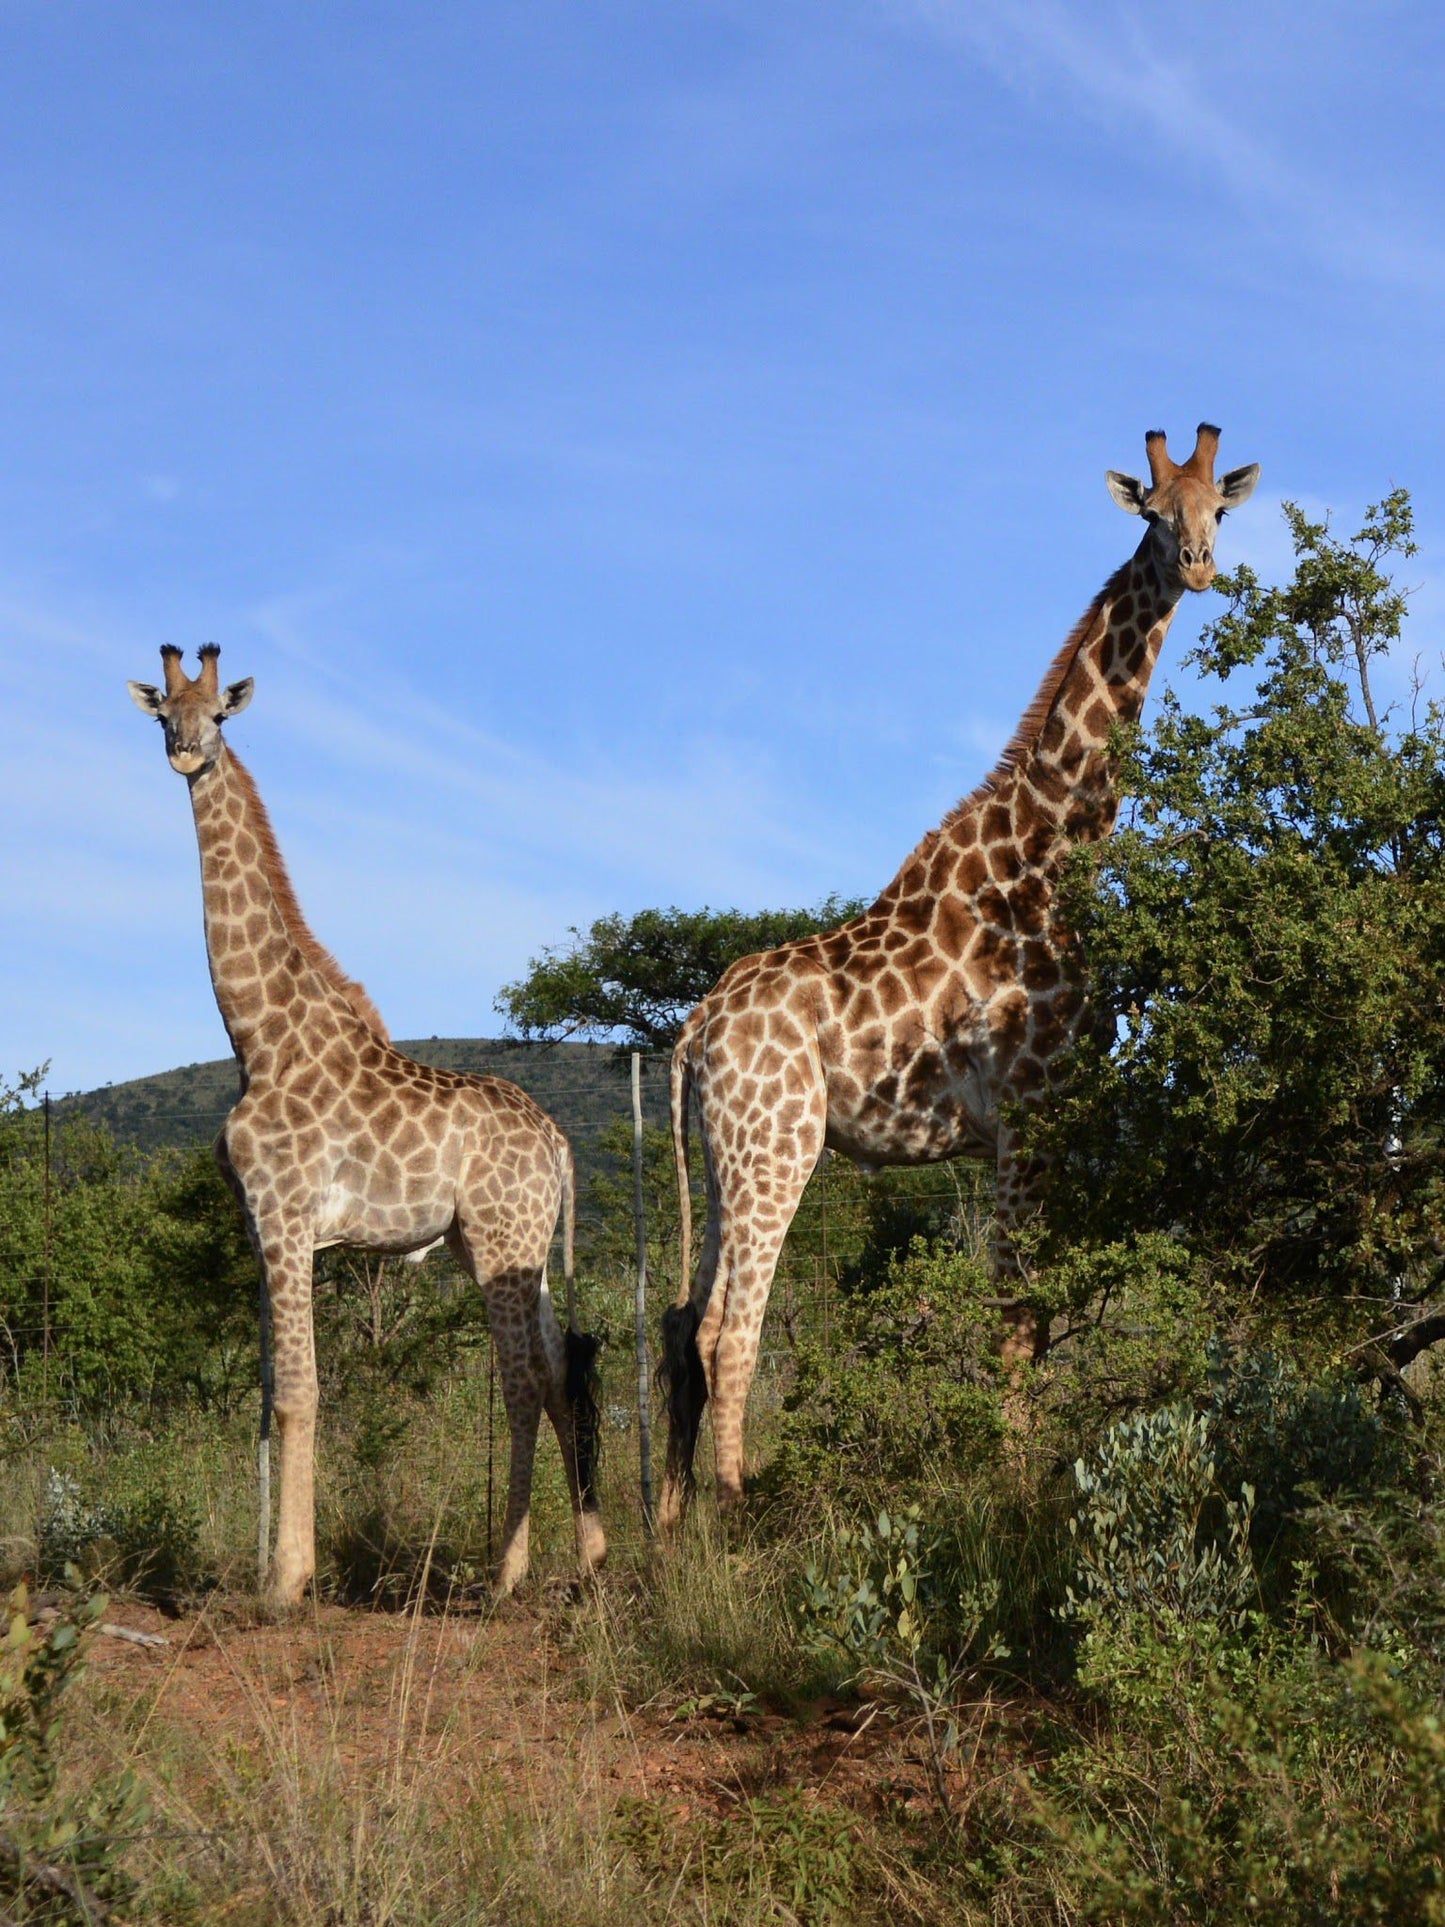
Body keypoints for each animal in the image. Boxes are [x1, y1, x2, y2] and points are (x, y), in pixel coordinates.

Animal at [127, 639, 608, 1603]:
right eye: (164, 710)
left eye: (219, 714)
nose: (187, 753)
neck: (257, 1035)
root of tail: (560, 1144)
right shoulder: (258, 1226)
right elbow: (269, 1395)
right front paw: (272, 1566)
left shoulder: (287, 1217)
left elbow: (298, 1392)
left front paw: (287, 1581)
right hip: (516, 1247)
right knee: (559, 1371)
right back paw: (590, 1554)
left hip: (496, 1241)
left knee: (520, 1381)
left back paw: (507, 1573)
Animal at [662, 422, 1263, 1518]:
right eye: (1155, 514)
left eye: (1218, 511)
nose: (1198, 567)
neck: (1054, 850)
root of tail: (693, 1031)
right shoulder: (1031, 1108)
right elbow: (1017, 1313)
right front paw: (1018, 1484)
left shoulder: (1019, 1132)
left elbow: (1025, 1312)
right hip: (778, 1142)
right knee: (730, 1327)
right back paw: (732, 1512)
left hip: (725, 1154)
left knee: (684, 1323)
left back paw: (669, 1520)